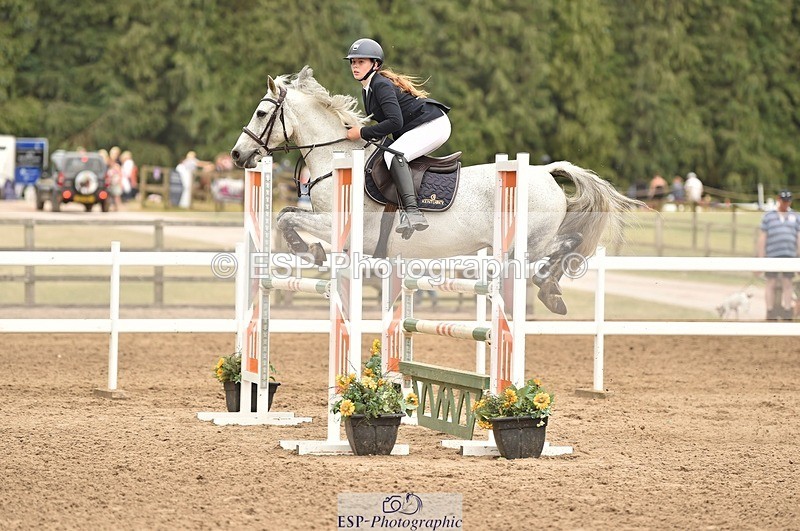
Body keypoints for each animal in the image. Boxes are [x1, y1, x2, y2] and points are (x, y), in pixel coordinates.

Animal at [230, 66, 642, 314]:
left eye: (262, 114)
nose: (238, 154)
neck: (336, 160)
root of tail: (543, 170)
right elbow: (285, 215)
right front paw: (309, 251)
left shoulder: (340, 226)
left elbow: (287, 220)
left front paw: (309, 251)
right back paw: (550, 289)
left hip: (527, 241)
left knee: (561, 247)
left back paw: (550, 289)